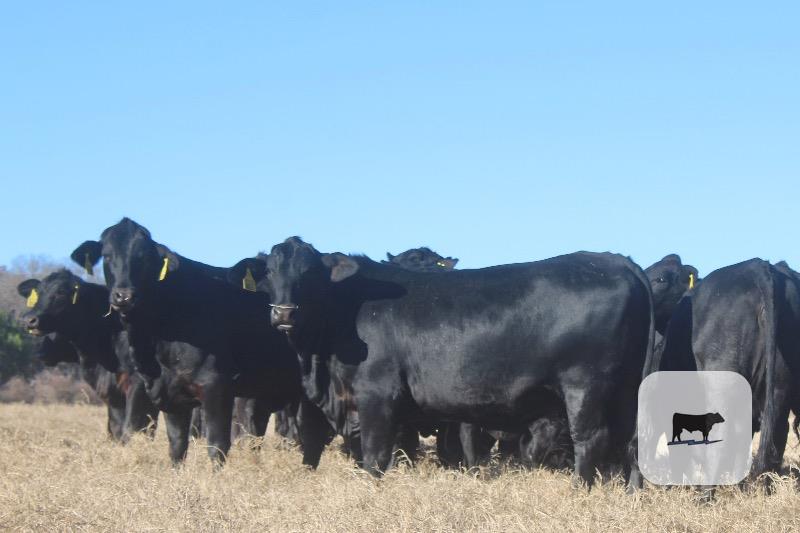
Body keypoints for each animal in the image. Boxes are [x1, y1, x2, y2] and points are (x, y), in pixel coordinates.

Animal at [17, 271, 159, 441]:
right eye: (37, 293)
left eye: (61, 292)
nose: (29, 319)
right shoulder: (113, 393)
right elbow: (117, 428)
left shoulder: (138, 384)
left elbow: (133, 426)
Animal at [71, 218, 330, 466]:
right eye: (107, 255)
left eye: (143, 257)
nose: (123, 296)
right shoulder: (171, 394)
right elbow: (177, 445)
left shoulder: (216, 385)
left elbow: (217, 444)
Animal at [255, 237, 653, 487]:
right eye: (270, 273)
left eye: (309, 273)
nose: (283, 313)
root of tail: (617, 260)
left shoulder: (377, 394)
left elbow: (374, 454)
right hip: (628, 388)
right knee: (633, 438)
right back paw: (632, 492)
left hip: (585, 385)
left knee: (591, 439)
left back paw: (578, 490)